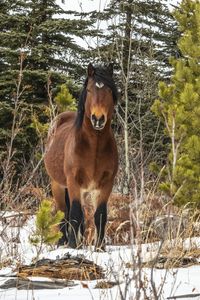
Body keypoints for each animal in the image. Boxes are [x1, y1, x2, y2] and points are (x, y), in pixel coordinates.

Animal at [44, 63, 117, 251]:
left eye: (108, 90)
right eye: (90, 90)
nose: (98, 119)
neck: (94, 147)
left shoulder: (106, 184)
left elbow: (100, 215)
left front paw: (100, 248)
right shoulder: (73, 181)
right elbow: (75, 213)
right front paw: (71, 245)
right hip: (58, 185)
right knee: (64, 212)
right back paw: (64, 242)